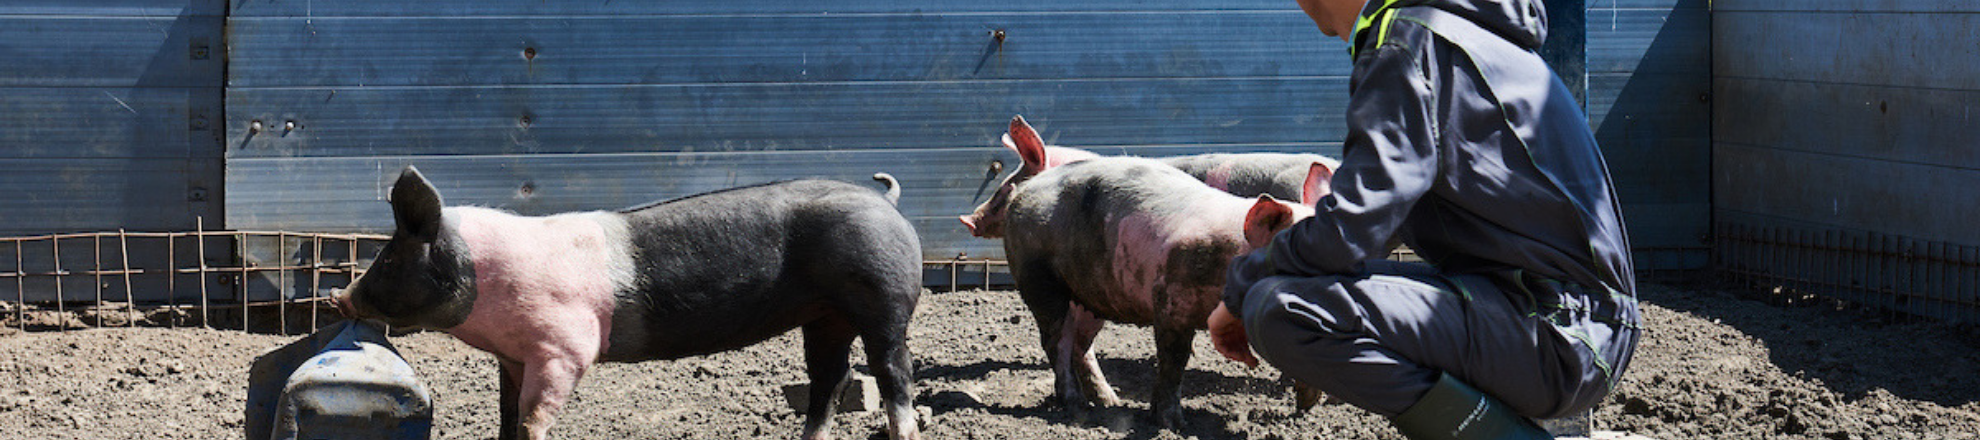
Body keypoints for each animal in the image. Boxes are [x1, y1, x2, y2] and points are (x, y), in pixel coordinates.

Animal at [333, 167, 924, 440]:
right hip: (825, 316)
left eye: (388, 259)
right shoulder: (512, 355)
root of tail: (884, 200)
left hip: (884, 296)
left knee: (894, 371)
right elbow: (506, 414)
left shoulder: (564, 348)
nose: (340, 297)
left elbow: (533, 417)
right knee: (830, 379)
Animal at [987, 117, 1329, 429]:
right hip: (1039, 278)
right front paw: (1172, 424)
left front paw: (1305, 408)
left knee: (1081, 346)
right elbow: (1173, 359)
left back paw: (1110, 401)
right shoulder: (1172, 300)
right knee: (1056, 341)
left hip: (1091, 293)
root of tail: (1024, 192)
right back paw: (1077, 407)